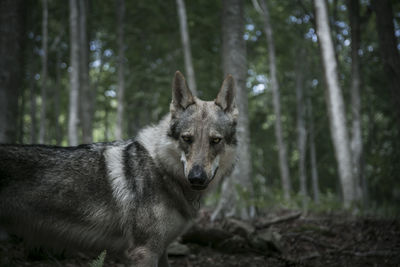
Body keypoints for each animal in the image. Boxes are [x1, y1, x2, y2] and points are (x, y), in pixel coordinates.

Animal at [0, 71, 238, 267]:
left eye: (215, 141)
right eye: (187, 139)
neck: (163, 171)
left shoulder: (161, 250)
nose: (196, 178)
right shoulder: (144, 252)